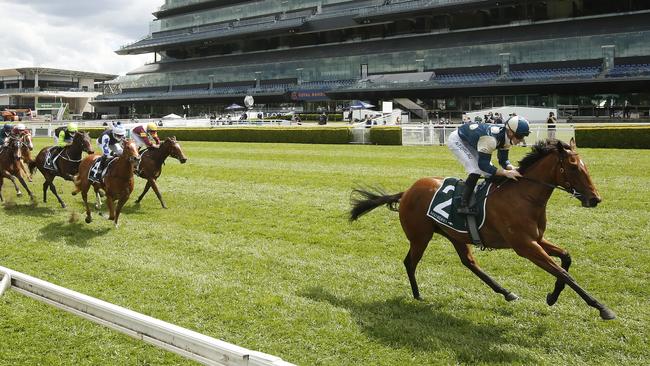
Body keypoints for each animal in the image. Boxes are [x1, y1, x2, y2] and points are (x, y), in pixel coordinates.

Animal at [346, 139, 616, 320]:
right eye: (573, 167)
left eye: (584, 165)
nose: (595, 199)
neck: (524, 196)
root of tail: (407, 191)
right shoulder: (525, 246)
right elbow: (563, 272)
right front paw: (602, 308)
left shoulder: (536, 239)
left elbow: (566, 259)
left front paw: (552, 296)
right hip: (420, 236)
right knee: (409, 262)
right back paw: (417, 295)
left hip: (455, 235)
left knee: (469, 263)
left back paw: (506, 292)